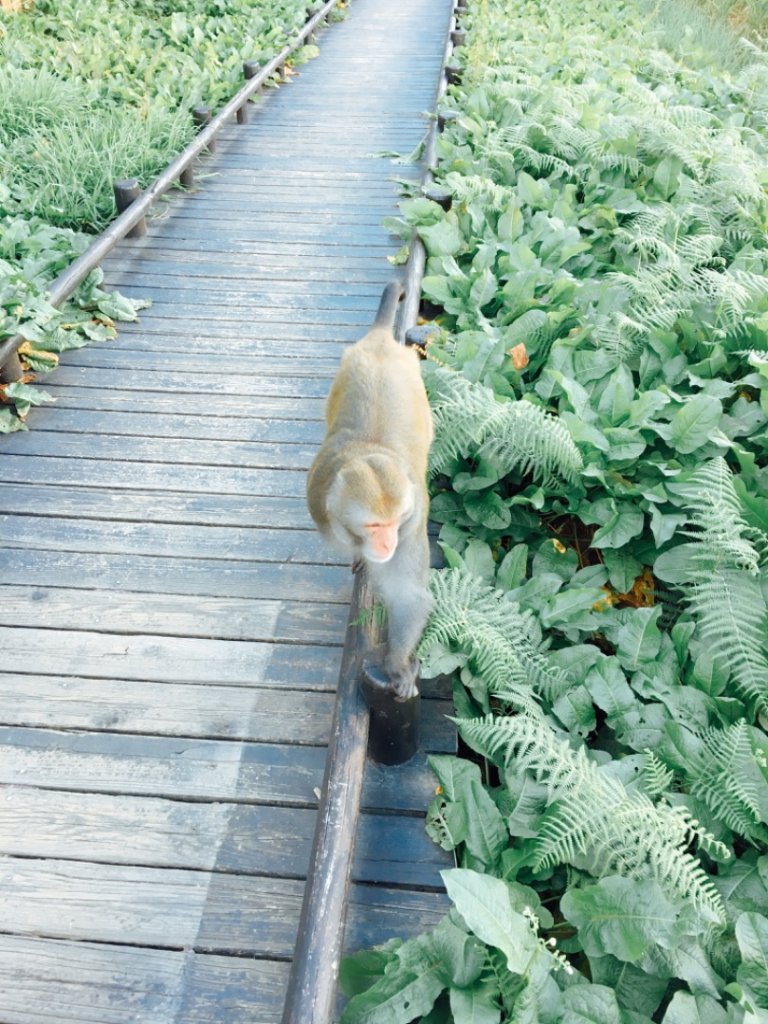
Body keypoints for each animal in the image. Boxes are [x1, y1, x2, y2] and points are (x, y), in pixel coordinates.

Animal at [309, 280, 436, 700]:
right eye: (374, 527)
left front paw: (397, 667)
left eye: (395, 523)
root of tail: (381, 342)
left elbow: (407, 594)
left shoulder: (414, 525)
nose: (387, 545)